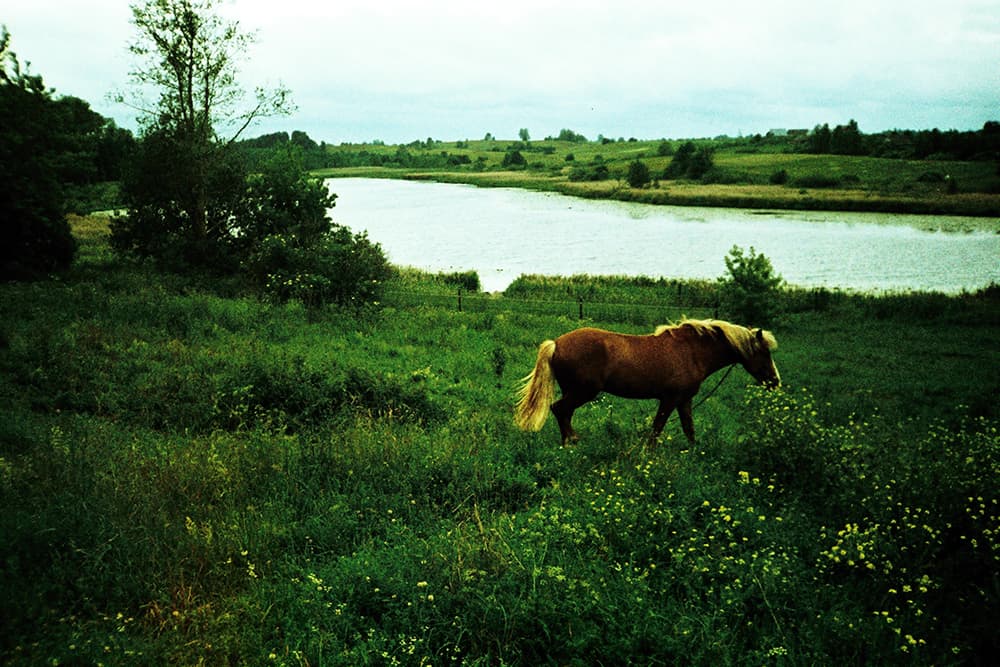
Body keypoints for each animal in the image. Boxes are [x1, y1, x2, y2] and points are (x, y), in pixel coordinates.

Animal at [514, 318, 780, 445]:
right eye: (764, 352)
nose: (775, 381)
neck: (692, 351)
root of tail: (557, 343)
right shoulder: (669, 399)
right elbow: (657, 429)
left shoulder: (684, 400)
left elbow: (689, 429)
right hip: (583, 392)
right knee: (560, 410)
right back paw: (572, 442)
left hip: (573, 391)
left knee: (564, 413)